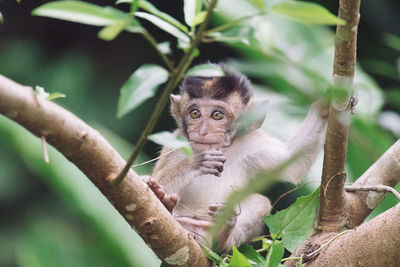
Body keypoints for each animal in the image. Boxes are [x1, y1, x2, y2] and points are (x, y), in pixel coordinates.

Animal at [143, 63, 328, 252]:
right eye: (195, 113)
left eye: (217, 115)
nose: (202, 131)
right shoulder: (175, 145)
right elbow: (154, 181)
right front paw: (196, 163)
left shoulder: (253, 144)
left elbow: (293, 160)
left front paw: (326, 104)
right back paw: (166, 204)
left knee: (260, 201)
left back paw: (224, 235)